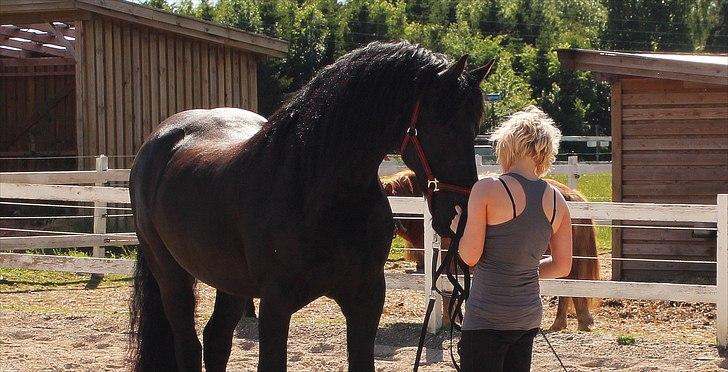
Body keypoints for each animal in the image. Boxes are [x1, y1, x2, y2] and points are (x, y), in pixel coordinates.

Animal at [129, 41, 494, 372]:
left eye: (475, 126)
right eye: (446, 125)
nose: (463, 210)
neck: (317, 192)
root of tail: (159, 140)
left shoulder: (366, 297)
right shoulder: (276, 304)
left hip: (227, 279)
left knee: (216, 338)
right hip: (171, 274)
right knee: (189, 344)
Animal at [384, 170, 600, 330]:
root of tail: (571, 195)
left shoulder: (449, 258)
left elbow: (446, 292)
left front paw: (448, 320)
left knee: (569, 288)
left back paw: (564, 322)